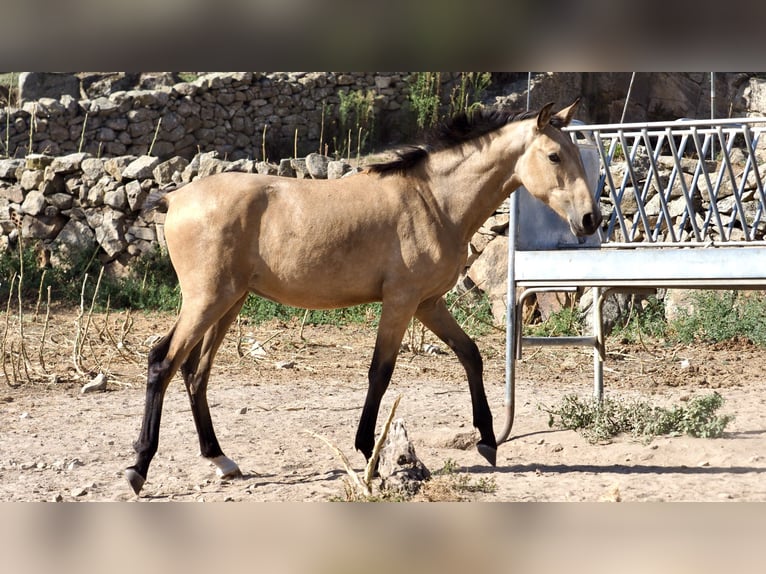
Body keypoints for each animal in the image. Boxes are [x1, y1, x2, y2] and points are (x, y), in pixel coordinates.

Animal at [127, 98, 608, 496]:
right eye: (554, 155)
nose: (590, 219)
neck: (433, 200)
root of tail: (174, 199)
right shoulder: (401, 301)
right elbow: (381, 372)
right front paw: (367, 453)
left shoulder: (428, 303)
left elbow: (470, 354)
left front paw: (488, 441)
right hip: (207, 300)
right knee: (163, 361)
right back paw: (139, 469)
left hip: (230, 302)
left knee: (196, 372)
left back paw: (221, 460)